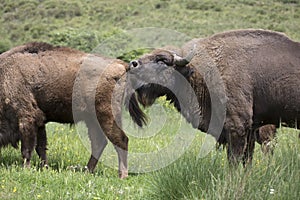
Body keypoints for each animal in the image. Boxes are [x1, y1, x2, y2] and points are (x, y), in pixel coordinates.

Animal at [127, 28, 300, 165]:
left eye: (162, 61)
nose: (133, 64)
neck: (196, 72)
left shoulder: (237, 127)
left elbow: (235, 161)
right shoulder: (250, 130)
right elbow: (247, 161)